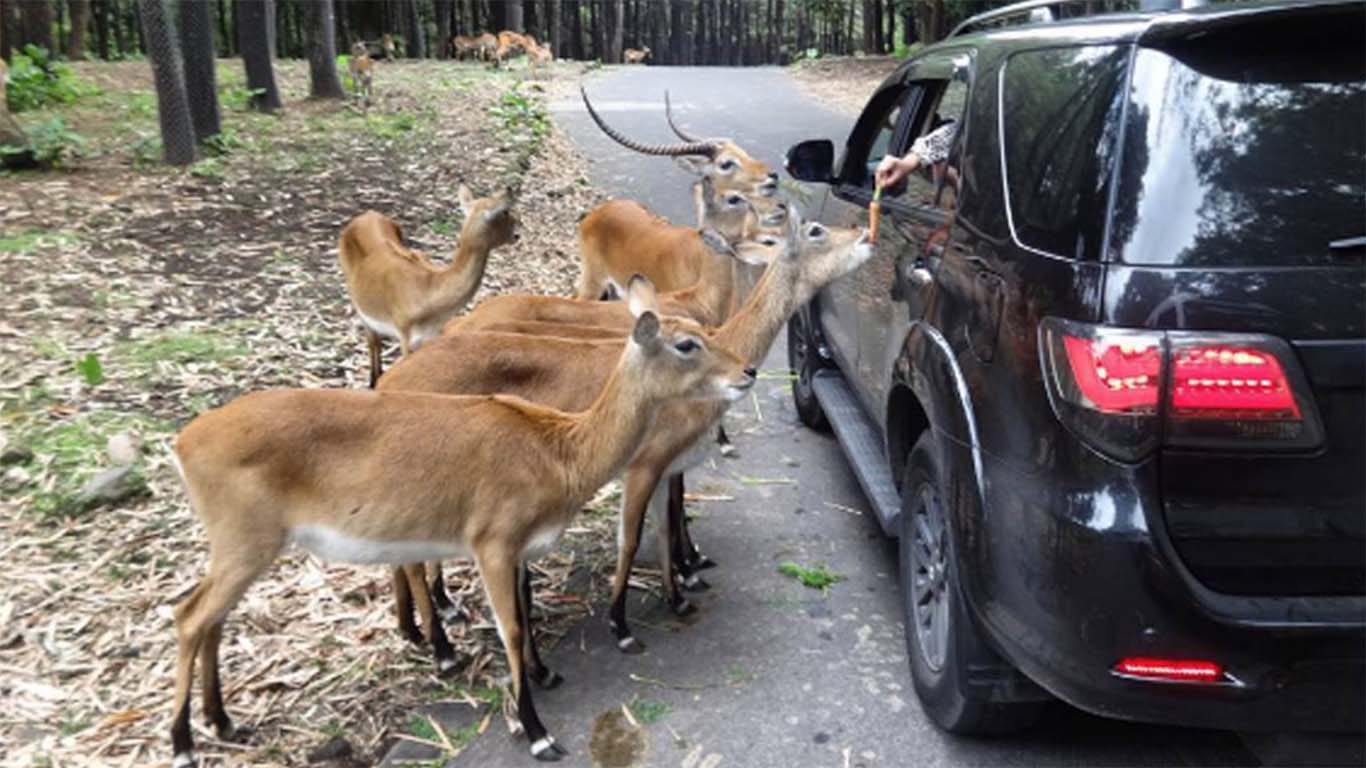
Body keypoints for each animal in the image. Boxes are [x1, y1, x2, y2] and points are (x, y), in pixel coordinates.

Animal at [168, 306, 759, 765]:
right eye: (687, 342)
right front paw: (539, 734)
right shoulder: (491, 543)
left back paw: (224, 722)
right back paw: (183, 745)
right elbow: (512, 629)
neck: (558, 452)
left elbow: (524, 612)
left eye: (703, 329)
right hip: (246, 542)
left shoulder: (519, 549)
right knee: (189, 615)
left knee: (210, 618)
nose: (748, 370)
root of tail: (183, 442)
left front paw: (545, 676)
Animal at [338, 184, 513, 385]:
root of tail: (367, 214)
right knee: (373, 343)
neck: (427, 293)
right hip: (359, 306)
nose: (517, 232)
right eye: (505, 212)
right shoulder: (405, 339)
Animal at [379, 207, 868, 650]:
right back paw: (442, 639)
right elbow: (632, 538)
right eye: (815, 229)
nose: (864, 232)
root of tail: (391, 378)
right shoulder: (645, 464)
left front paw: (681, 590)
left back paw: (416, 625)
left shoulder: (668, 465)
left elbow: (666, 523)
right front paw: (624, 622)